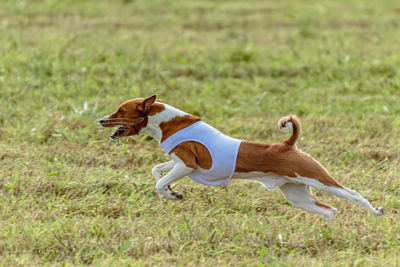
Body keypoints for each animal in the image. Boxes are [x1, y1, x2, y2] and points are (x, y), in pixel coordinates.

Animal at [99, 95, 384, 221]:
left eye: (120, 110)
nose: (101, 120)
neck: (168, 123)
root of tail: (287, 145)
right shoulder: (181, 163)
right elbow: (157, 171)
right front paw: (172, 191)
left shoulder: (188, 164)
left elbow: (158, 181)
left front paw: (171, 194)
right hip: (297, 194)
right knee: (329, 210)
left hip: (317, 178)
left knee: (352, 195)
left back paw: (375, 211)